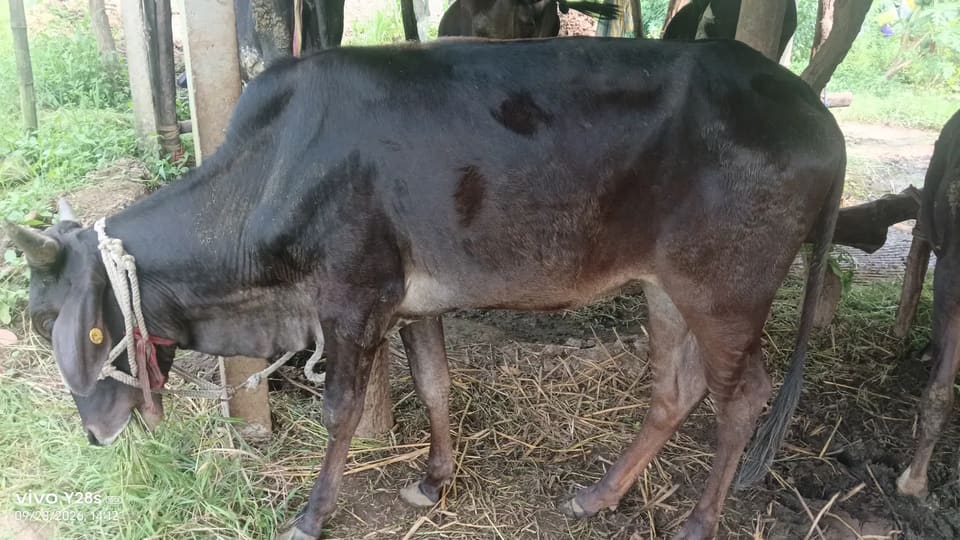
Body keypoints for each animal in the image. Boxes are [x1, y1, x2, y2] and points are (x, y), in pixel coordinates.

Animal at [5, 37, 844, 540]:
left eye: (68, 327)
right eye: (39, 323)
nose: (97, 435)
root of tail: (818, 117)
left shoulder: (353, 298)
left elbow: (342, 411)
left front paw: (312, 514)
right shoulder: (412, 303)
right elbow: (435, 385)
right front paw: (434, 482)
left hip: (727, 289)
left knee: (743, 395)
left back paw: (699, 520)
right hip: (665, 287)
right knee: (675, 390)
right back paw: (597, 496)